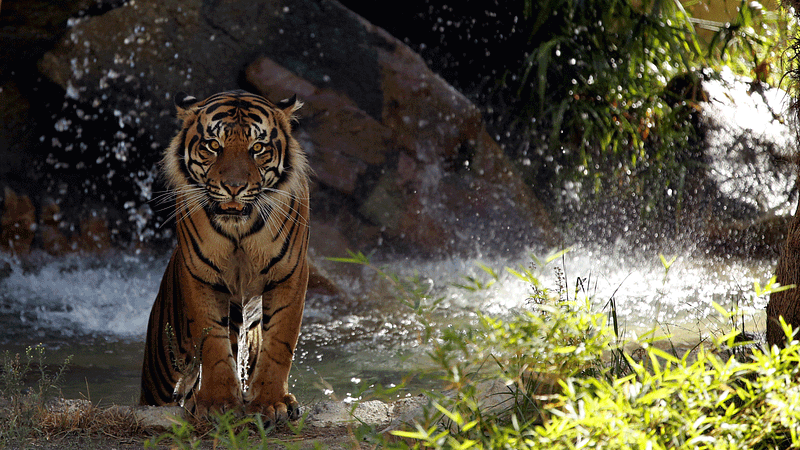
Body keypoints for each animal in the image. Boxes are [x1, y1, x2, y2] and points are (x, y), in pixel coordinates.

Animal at [141, 89, 310, 426]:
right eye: (213, 145)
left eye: (257, 148)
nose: (234, 187)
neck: (239, 230)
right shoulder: (200, 274)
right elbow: (213, 343)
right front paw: (217, 404)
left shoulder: (290, 274)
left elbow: (280, 343)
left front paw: (270, 403)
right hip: (161, 368)